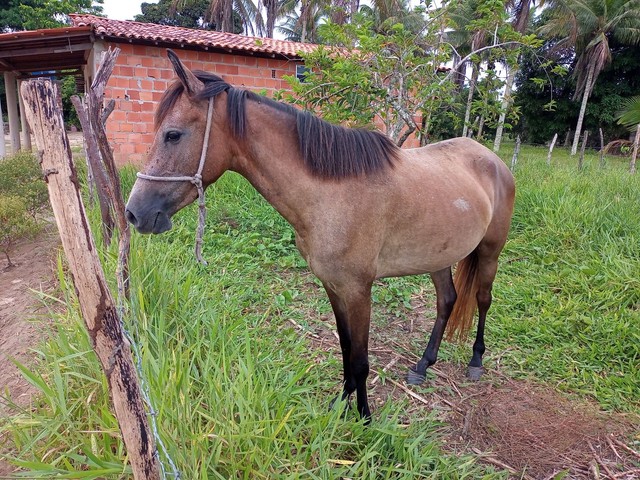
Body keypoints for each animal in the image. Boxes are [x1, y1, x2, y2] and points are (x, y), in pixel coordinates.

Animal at [125, 50, 516, 422]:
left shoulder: (358, 290)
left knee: (483, 299)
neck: (331, 194)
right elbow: (345, 351)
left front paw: (363, 419)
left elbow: (360, 360)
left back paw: (476, 362)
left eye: (173, 134)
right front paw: (341, 405)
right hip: (439, 256)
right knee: (446, 300)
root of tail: (491, 159)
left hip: (490, 252)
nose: (134, 213)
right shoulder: (333, 285)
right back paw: (423, 365)